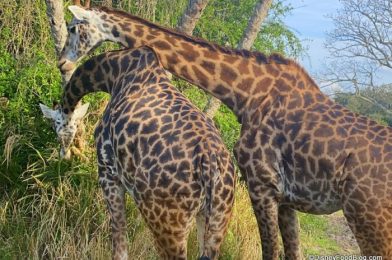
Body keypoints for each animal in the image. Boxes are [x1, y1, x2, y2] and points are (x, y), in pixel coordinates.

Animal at [40, 45, 236, 258]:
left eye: (54, 125)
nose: (64, 154)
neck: (113, 74)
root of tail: (210, 163)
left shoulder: (107, 172)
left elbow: (119, 243)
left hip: (167, 222)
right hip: (216, 219)